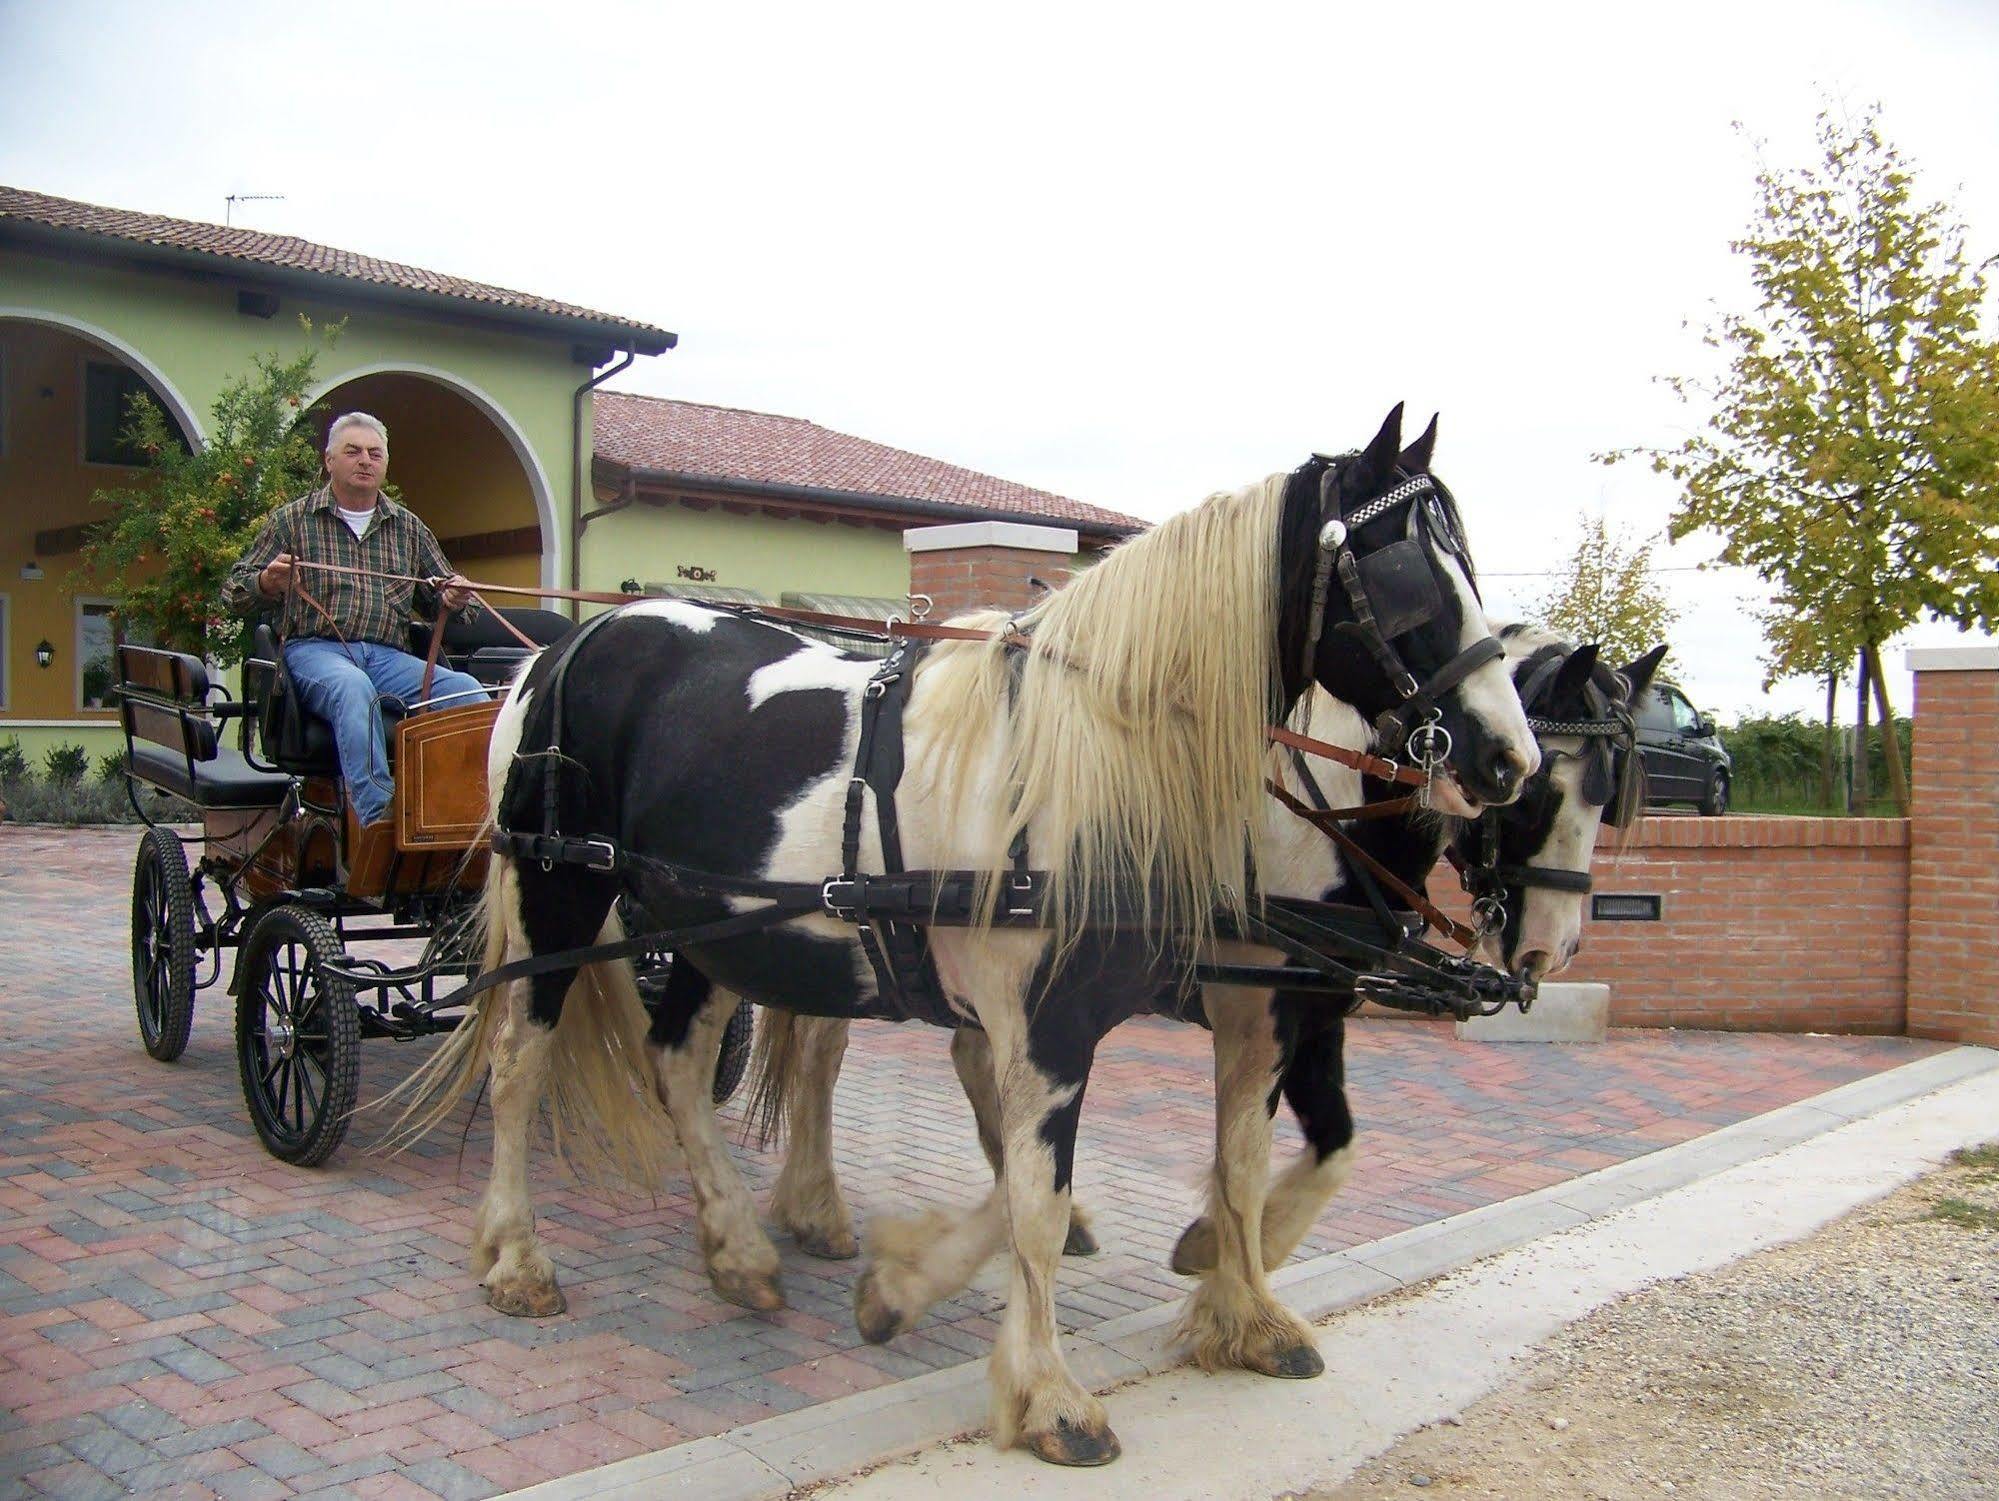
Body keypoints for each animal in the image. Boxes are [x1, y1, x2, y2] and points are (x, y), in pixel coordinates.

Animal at [397, 407, 1535, 1471]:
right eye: (1404, 572)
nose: (1506, 757)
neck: (1094, 762)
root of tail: (564, 646)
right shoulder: (1057, 1021)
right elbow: (1036, 1197)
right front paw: (1050, 1397)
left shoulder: (1215, 1011)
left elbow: (1188, 1167)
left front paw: (1225, 1307)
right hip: (556, 889)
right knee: (519, 1059)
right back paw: (515, 1257)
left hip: (717, 927)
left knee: (674, 1057)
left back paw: (738, 1250)